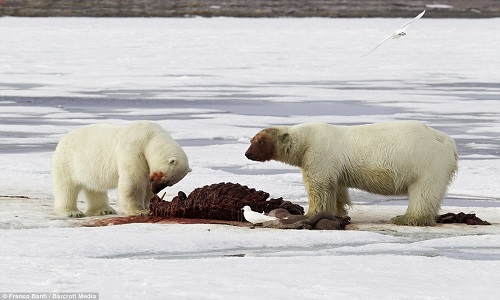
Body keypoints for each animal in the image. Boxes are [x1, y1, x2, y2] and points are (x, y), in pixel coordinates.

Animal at [51, 120, 190, 217]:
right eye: (163, 176)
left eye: (170, 184)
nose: (156, 189)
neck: (150, 137)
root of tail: (63, 138)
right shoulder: (133, 149)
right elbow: (134, 181)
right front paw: (139, 211)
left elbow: (145, 184)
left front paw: (148, 205)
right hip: (67, 161)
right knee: (66, 187)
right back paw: (72, 212)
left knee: (94, 187)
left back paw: (103, 210)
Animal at [244, 121, 458, 225]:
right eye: (252, 140)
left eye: (260, 141)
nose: (247, 154)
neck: (306, 141)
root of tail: (449, 143)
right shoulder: (334, 166)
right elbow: (336, 187)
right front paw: (338, 211)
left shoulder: (319, 154)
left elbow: (319, 186)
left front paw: (312, 213)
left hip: (426, 162)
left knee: (423, 192)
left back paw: (406, 219)